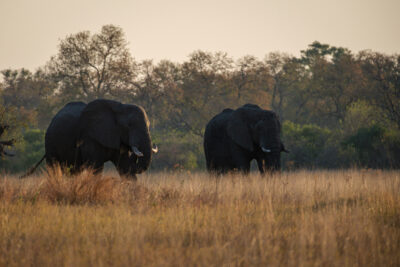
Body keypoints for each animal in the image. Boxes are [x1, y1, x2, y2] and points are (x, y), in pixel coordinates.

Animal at [23, 99, 158, 180]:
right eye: (129, 126)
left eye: (149, 125)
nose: (137, 151)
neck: (119, 108)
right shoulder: (89, 136)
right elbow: (96, 167)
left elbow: (125, 168)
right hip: (50, 142)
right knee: (54, 168)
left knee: (74, 170)